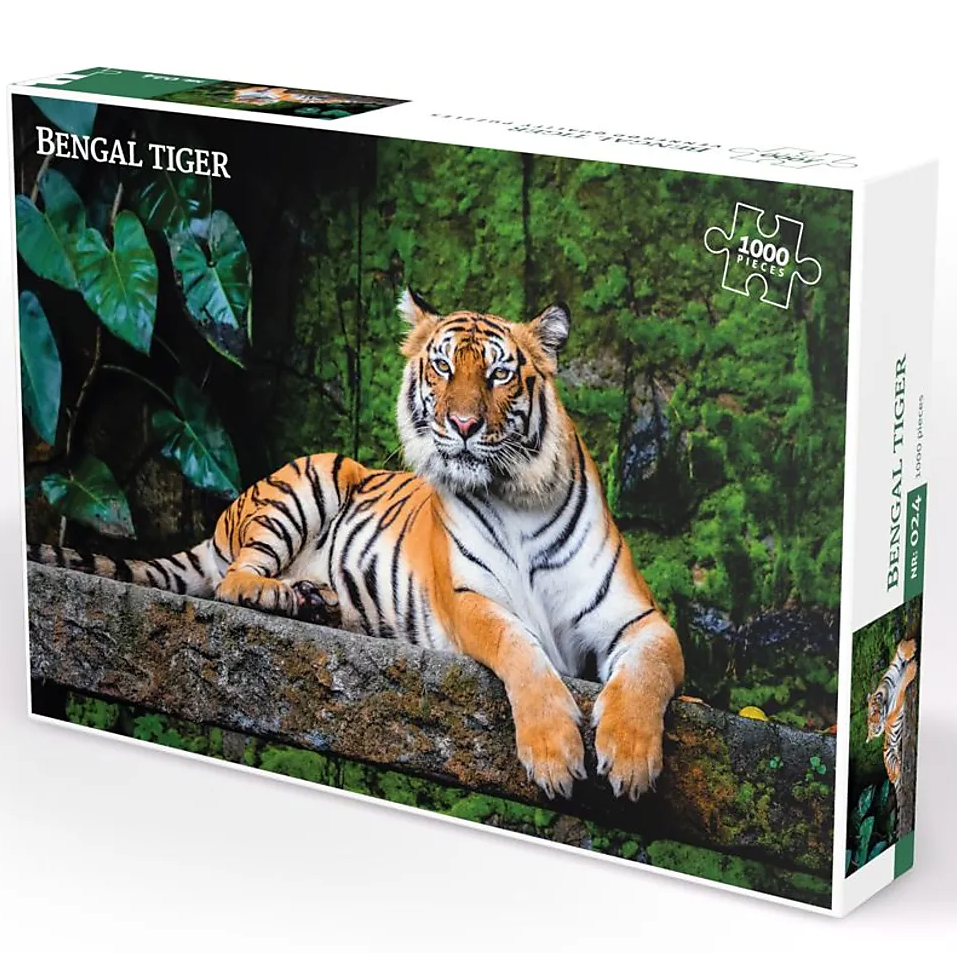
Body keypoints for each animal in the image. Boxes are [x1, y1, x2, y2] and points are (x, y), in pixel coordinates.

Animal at [30, 290, 685, 802]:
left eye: (499, 374)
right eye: (442, 367)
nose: (464, 426)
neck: (516, 495)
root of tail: (224, 515)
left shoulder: (639, 619)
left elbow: (648, 672)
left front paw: (630, 761)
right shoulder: (471, 601)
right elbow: (521, 650)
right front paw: (554, 753)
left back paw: (319, 602)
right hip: (311, 479)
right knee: (233, 579)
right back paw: (286, 597)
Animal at [866, 638, 918, 786]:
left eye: (873, 712)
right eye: (871, 727)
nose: (877, 726)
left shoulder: (891, 670)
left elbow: (900, 649)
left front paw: (911, 645)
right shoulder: (895, 705)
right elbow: (901, 686)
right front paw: (912, 668)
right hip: (889, 754)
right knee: (898, 771)